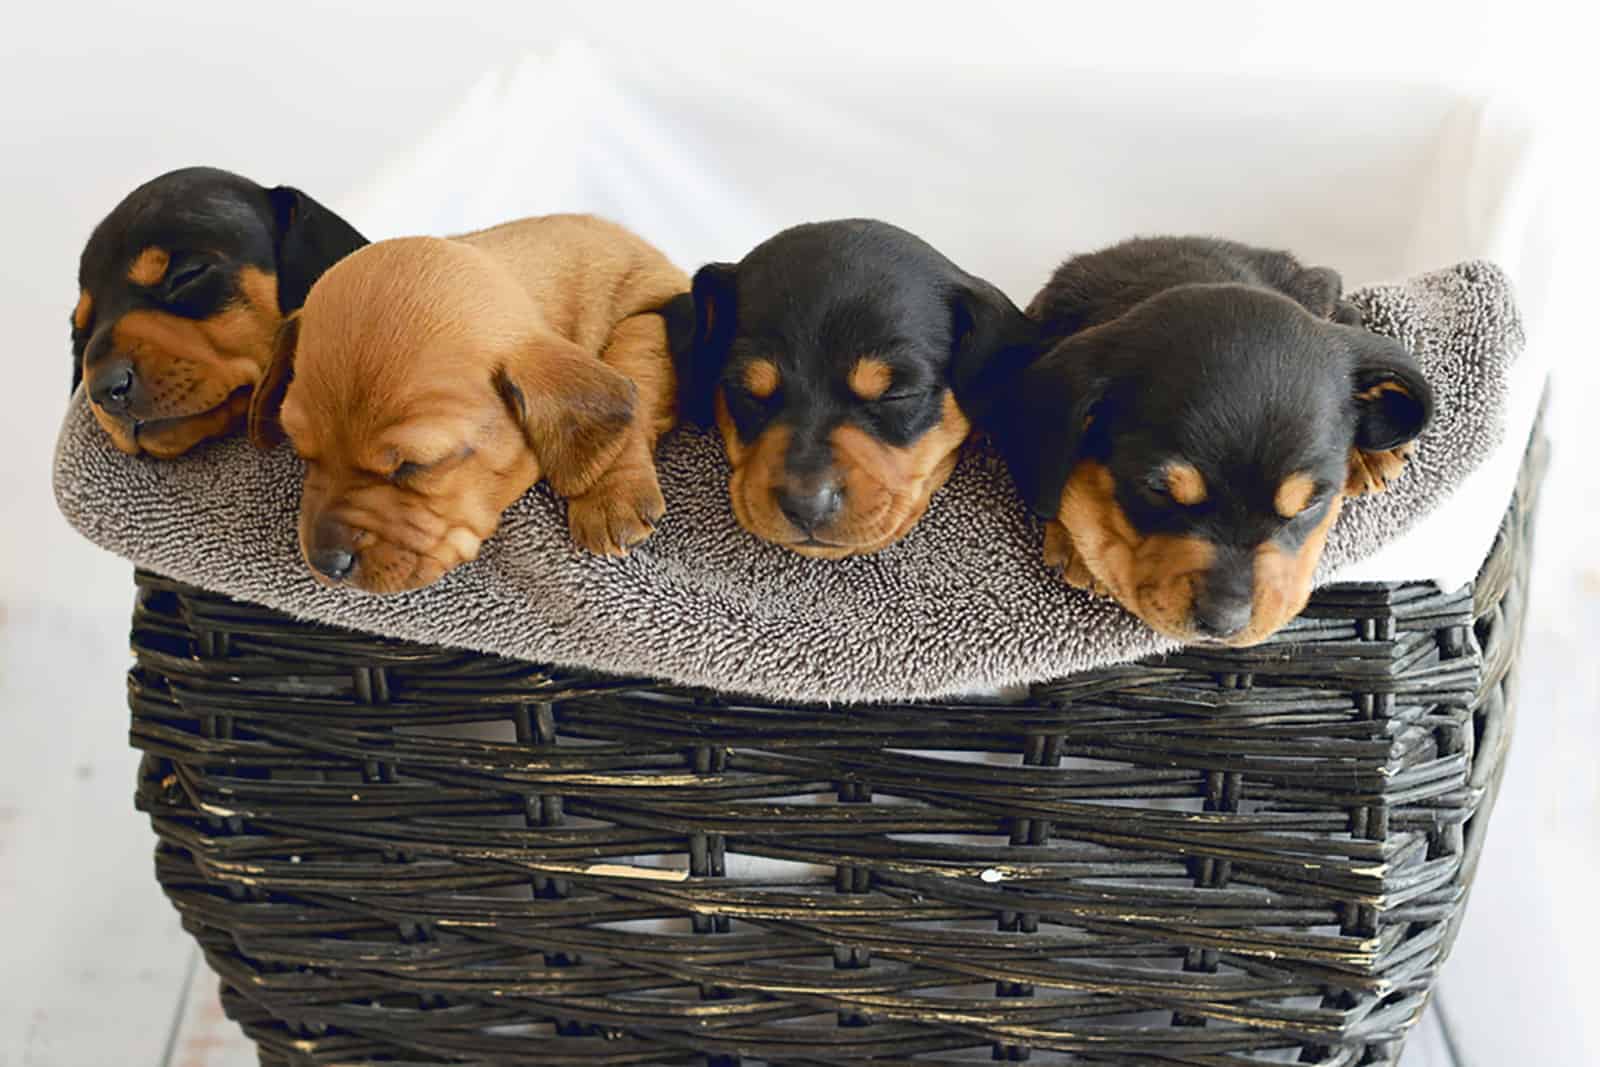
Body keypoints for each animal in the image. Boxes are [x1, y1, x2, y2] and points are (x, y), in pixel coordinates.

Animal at [246, 212, 684, 598]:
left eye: (414, 465)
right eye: (301, 449)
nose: (326, 563)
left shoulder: (654, 307)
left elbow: (635, 365)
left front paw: (611, 494)